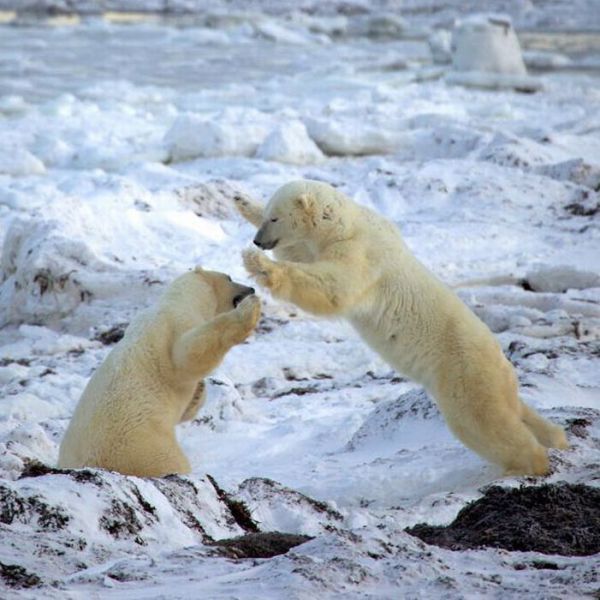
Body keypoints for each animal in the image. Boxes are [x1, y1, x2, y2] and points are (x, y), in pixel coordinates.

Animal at [56, 268, 260, 478]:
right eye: (229, 277)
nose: (251, 288)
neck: (182, 298)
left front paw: (198, 393)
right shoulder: (175, 324)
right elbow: (189, 353)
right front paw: (249, 311)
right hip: (145, 448)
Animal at [238, 180, 568, 476]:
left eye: (275, 218)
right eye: (267, 214)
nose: (257, 241)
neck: (346, 224)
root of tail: (501, 360)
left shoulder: (362, 253)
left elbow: (333, 287)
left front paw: (259, 264)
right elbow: (302, 254)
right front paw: (242, 201)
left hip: (463, 372)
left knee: (482, 421)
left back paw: (527, 464)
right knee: (515, 411)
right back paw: (556, 437)